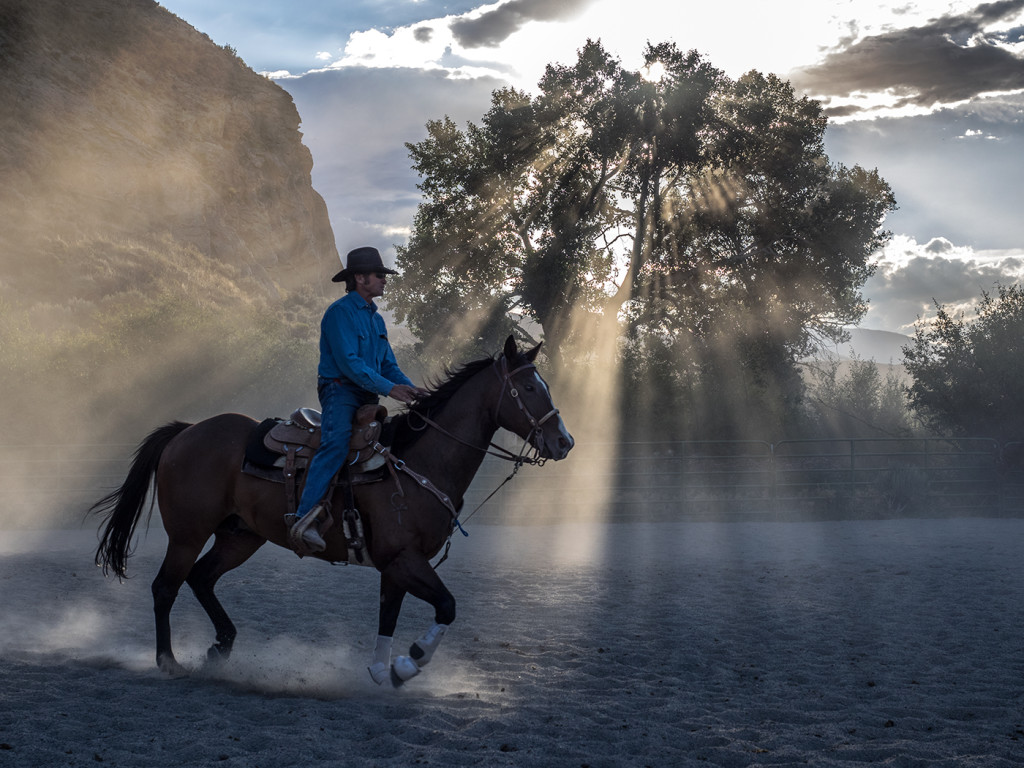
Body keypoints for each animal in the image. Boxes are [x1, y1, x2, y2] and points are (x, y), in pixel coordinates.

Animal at [92, 335, 573, 684]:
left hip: (240, 536)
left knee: (201, 579)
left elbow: (388, 615)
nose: (564, 442)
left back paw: (221, 647)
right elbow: (447, 606)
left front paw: (382, 670)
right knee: (165, 588)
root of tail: (186, 431)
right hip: (187, 534)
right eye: (529, 387)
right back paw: (168, 661)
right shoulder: (406, 560)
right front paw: (410, 662)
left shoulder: (396, 564)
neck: (416, 462)